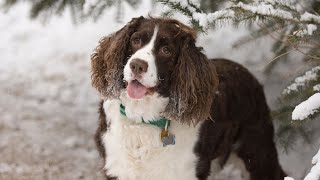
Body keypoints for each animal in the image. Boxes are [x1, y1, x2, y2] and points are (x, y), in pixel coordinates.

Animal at [90, 16, 288, 179]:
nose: (137, 65)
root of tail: (245, 71)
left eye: (166, 50)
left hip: (257, 152)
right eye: (135, 40)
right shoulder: (117, 166)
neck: (143, 119)